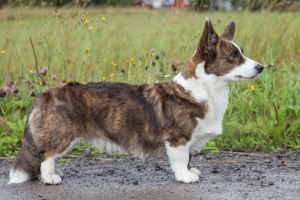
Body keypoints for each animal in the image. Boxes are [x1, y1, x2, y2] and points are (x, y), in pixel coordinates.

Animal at [8, 17, 264, 184]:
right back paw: (50, 178)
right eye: (234, 56)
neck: (203, 89)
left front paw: (193, 171)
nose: (262, 67)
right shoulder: (178, 139)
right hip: (62, 135)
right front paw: (185, 177)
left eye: (241, 52)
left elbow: (190, 157)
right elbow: (182, 159)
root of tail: (45, 94)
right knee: (47, 156)